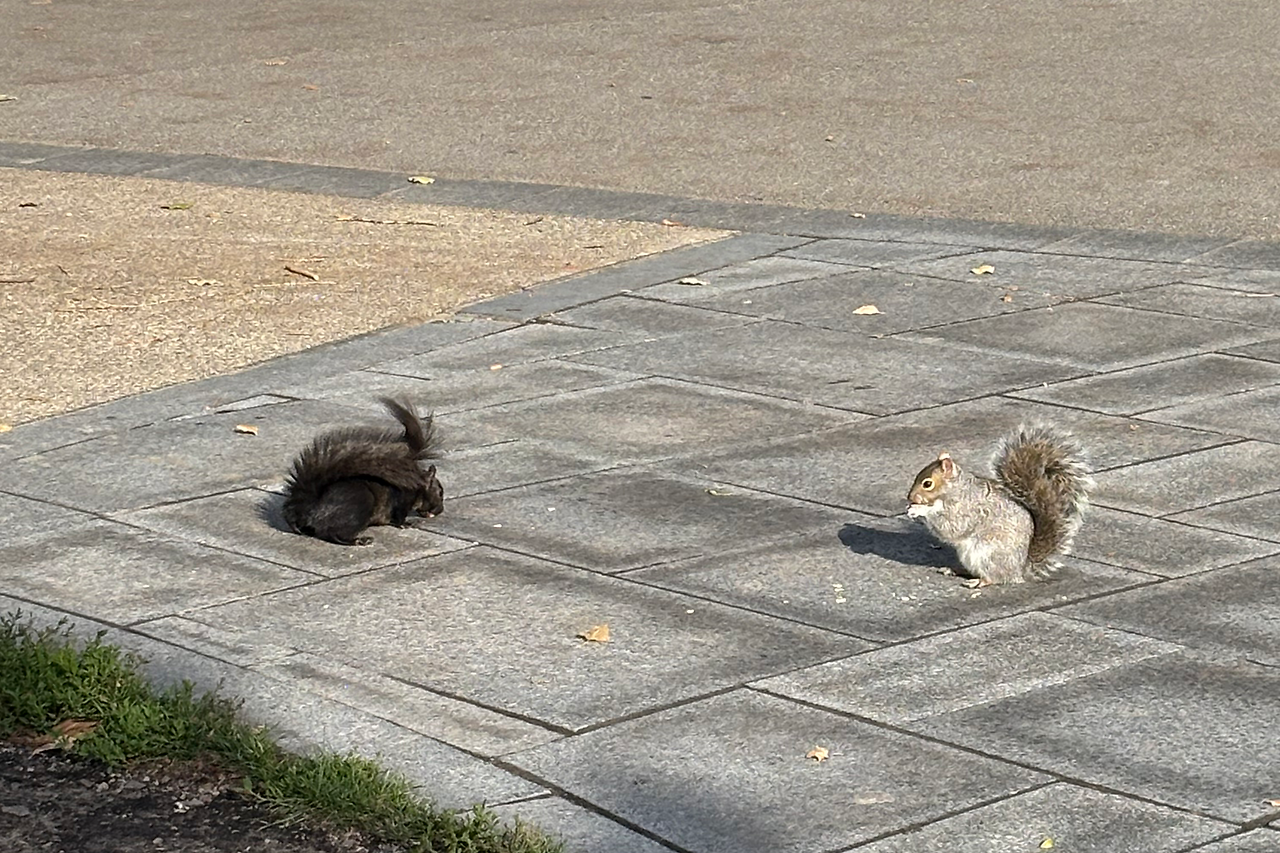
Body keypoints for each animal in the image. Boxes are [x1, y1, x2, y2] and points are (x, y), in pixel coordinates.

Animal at [281, 397, 444, 546]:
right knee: (329, 532)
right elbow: (398, 516)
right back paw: (358, 540)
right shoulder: (403, 499)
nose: (440, 510)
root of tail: (311, 506)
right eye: (440, 492)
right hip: (361, 503)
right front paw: (406, 524)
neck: (418, 485)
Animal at [905, 423, 1094, 587]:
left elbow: (952, 527)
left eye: (927, 484)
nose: (910, 497)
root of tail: (1020, 570)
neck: (957, 489)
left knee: (995, 578)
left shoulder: (967, 509)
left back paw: (978, 581)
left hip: (988, 554)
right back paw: (955, 569)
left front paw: (919, 509)